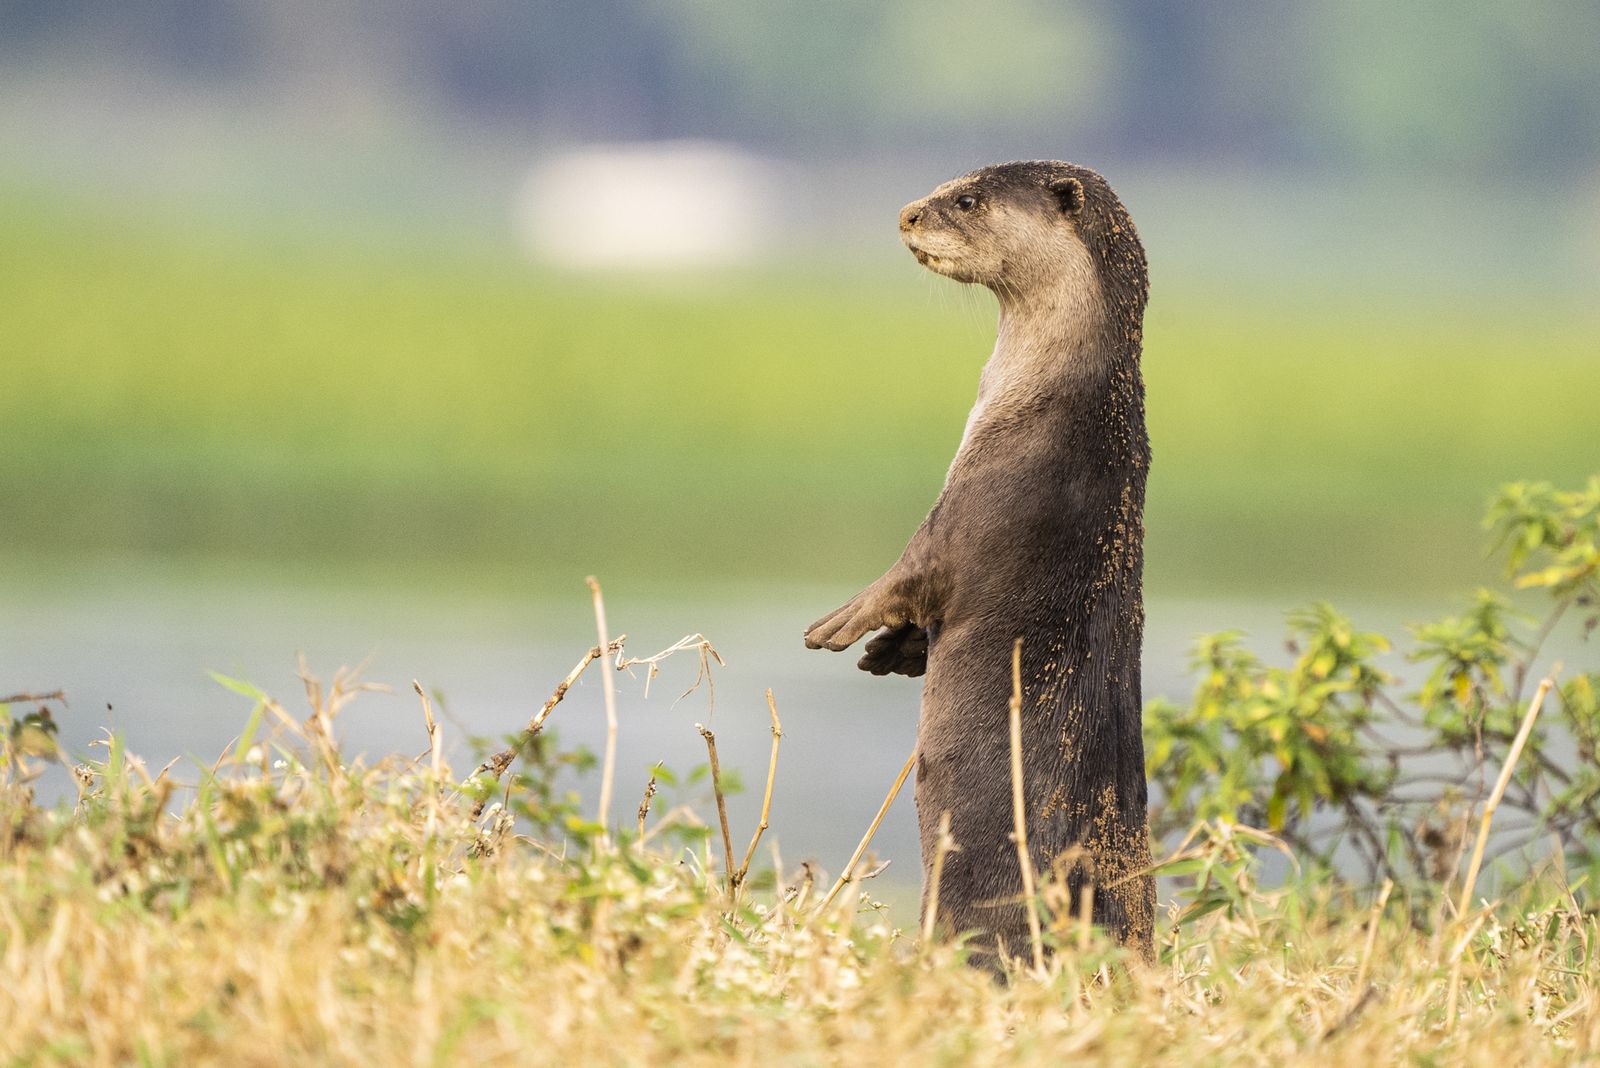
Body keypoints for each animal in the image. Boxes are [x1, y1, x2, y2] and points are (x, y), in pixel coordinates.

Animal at [804, 160, 1155, 967]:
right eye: (950, 181)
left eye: (966, 199)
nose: (907, 214)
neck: (1060, 404)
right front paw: (892, 653)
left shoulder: (976, 502)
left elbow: (914, 574)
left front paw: (837, 624)